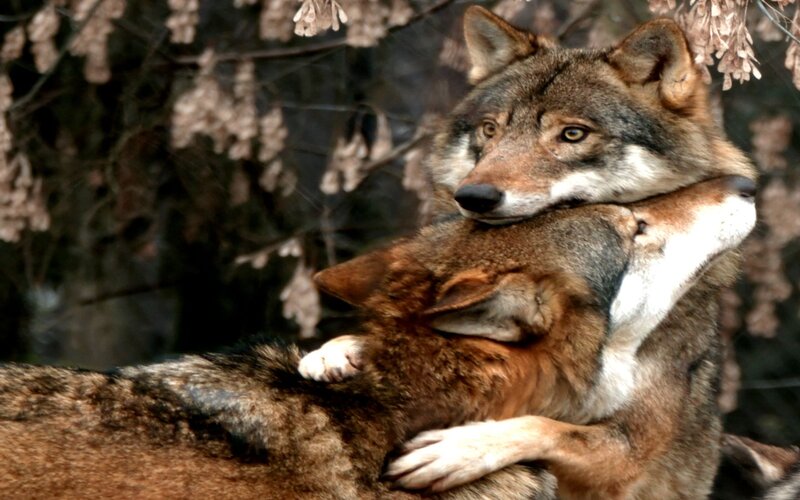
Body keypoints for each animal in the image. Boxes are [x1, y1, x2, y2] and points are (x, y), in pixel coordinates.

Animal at [301, 7, 758, 499]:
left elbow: (545, 427)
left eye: (573, 134)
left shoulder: (631, 445)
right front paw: (338, 349)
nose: (473, 196)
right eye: (490, 129)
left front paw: (457, 449)